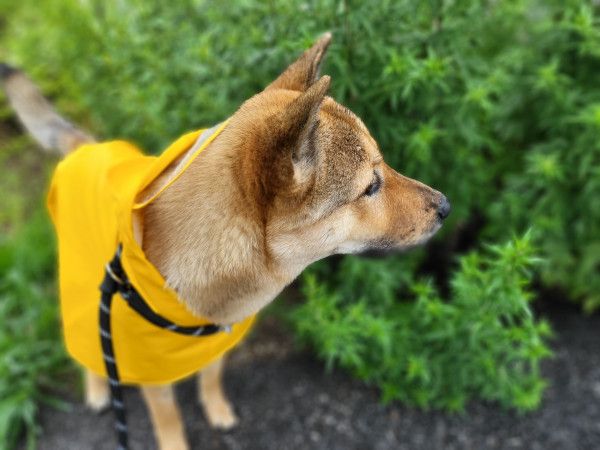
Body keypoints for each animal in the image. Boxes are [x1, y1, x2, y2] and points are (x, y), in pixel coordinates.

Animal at [1, 33, 450, 450]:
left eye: (383, 168)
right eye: (370, 186)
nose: (446, 206)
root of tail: (86, 147)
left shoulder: (216, 342)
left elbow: (211, 377)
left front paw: (216, 409)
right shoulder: (153, 377)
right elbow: (169, 420)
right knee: (86, 343)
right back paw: (97, 388)